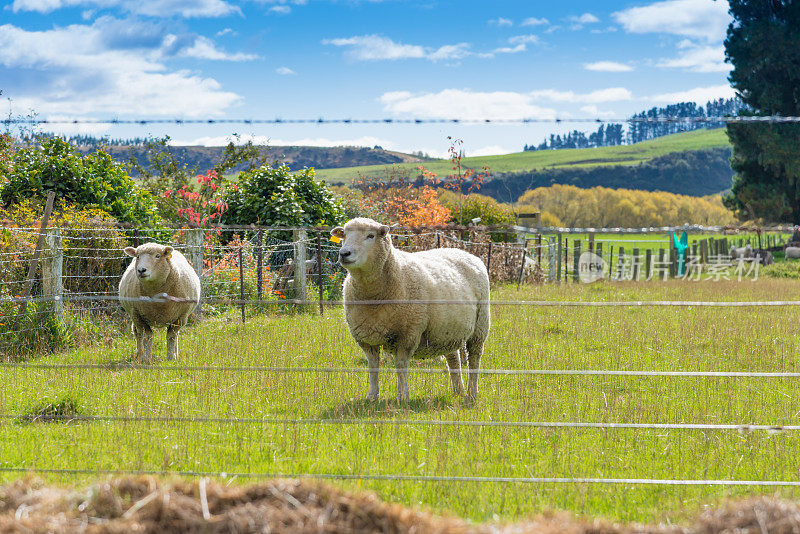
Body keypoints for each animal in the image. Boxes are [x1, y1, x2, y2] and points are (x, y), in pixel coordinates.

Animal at [330, 218, 490, 402]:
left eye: (370, 236)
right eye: (344, 235)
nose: (344, 253)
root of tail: (464, 252)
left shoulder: (408, 333)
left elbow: (400, 365)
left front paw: (402, 396)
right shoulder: (366, 338)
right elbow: (373, 366)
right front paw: (372, 396)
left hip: (480, 326)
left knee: (475, 359)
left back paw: (472, 393)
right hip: (448, 330)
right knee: (454, 359)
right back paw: (458, 390)